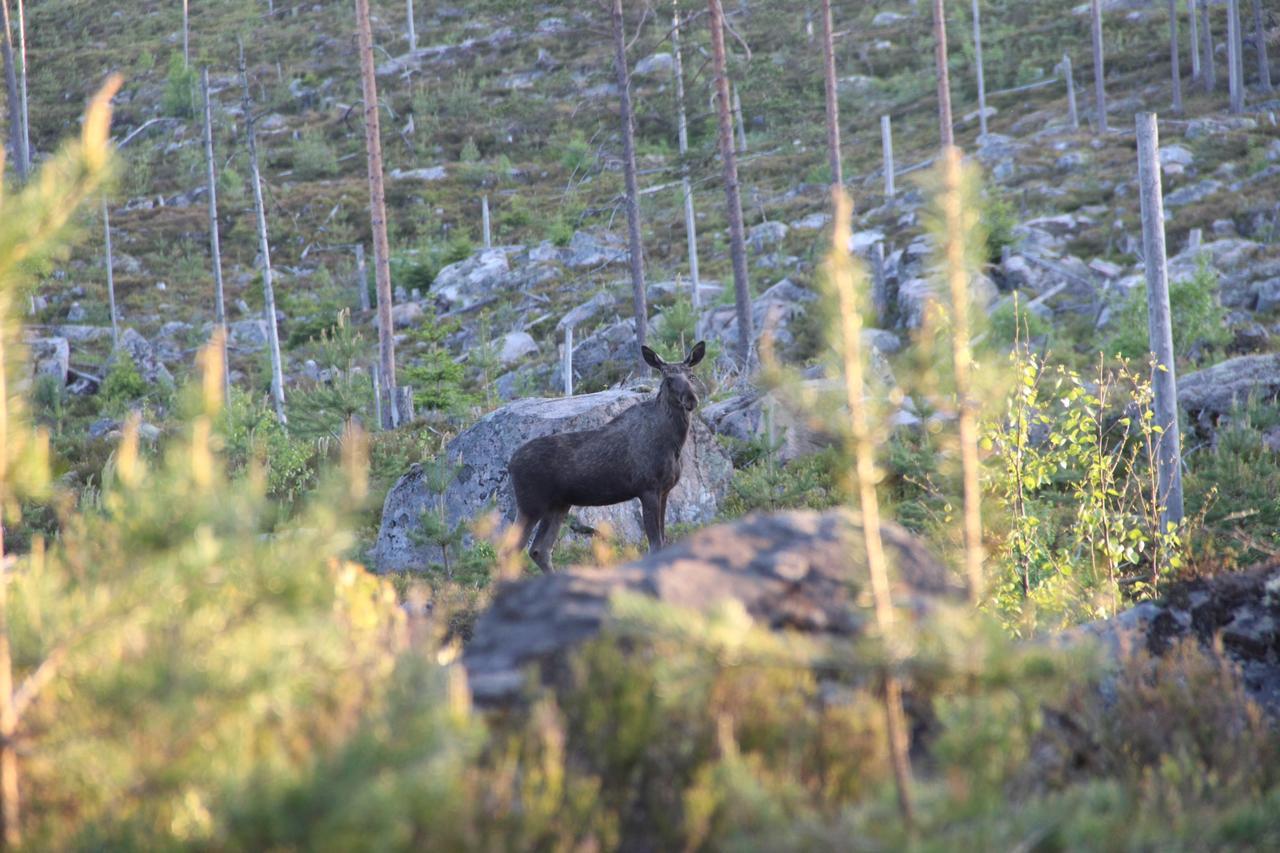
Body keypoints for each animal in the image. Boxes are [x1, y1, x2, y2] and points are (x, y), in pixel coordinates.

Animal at [506, 340, 711, 571]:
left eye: (691, 375)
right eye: (668, 379)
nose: (691, 400)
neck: (674, 442)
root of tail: (510, 464)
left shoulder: (665, 491)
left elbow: (663, 541)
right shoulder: (648, 489)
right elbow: (655, 544)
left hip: (558, 505)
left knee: (539, 550)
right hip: (530, 505)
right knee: (509, 550)